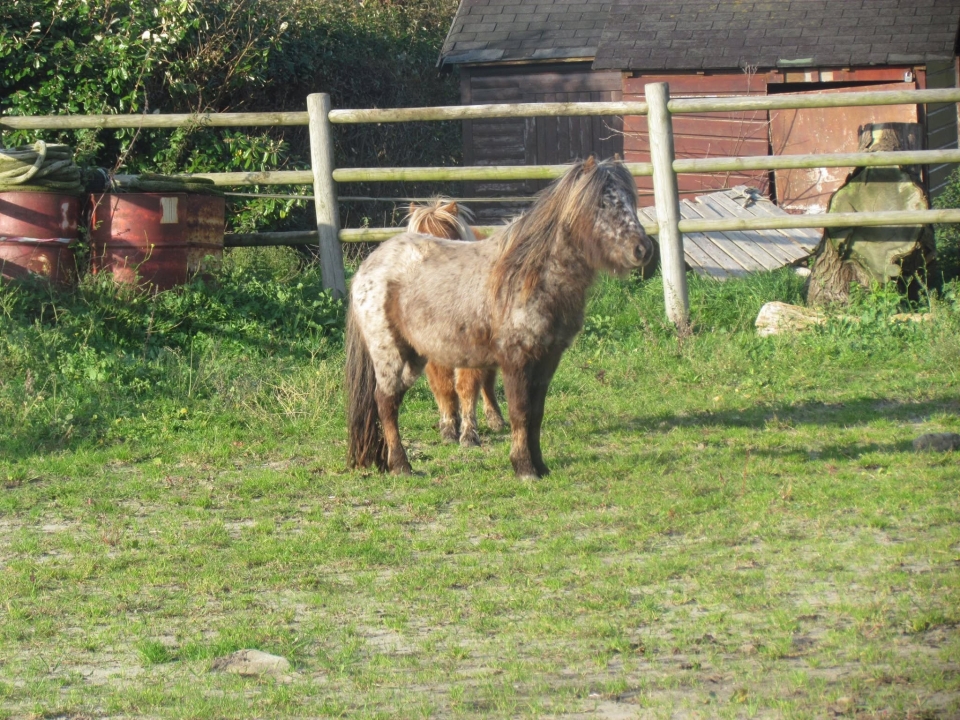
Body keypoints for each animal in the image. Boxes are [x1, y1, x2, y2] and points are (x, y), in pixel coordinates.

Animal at [405, 198, 506, 447]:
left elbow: (467, 387)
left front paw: (469, 434)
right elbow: (444, 387)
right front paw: (449, 428)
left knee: (488, 383)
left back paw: (495, 420)